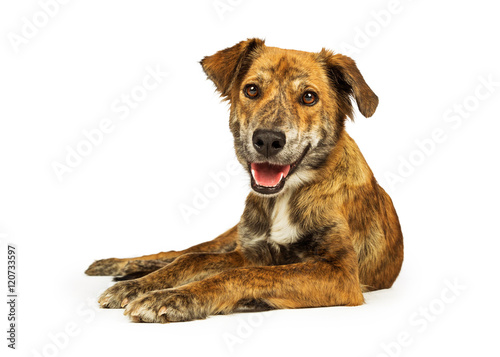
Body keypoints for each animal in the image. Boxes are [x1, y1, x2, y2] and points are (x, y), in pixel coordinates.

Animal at [86, 39, 404, 322]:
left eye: (309, 97)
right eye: (251, 89)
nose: (268, 140)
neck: (285, 196)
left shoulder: (341, 273)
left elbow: (244, 275)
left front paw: (176, 297)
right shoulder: (250, 251)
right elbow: (193, 260)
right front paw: (140, 287)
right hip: (229, 238)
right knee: (183, 252)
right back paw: (119, 269)